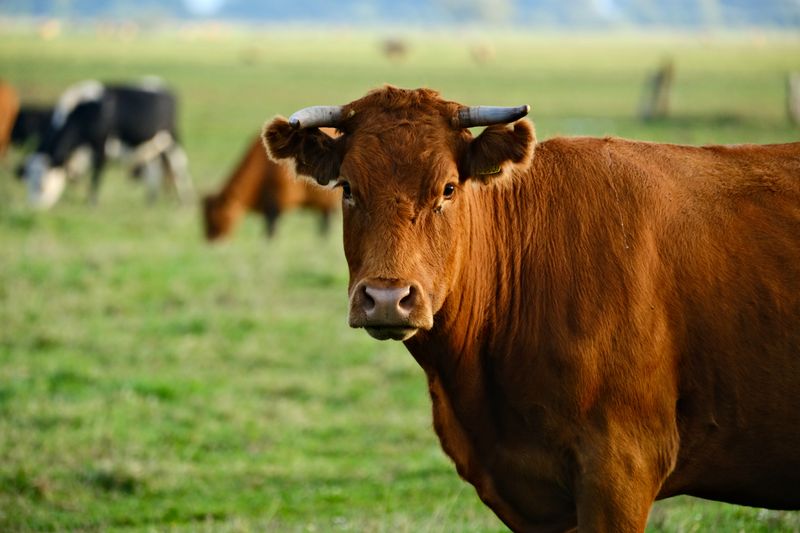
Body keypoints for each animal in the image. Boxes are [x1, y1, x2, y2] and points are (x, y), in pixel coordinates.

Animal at [22, 79, 194, 209]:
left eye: (41, 185)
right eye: (28, 181)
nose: (34, 208)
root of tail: (163, 86)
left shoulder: (101, 146)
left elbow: (96, 174)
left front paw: (92, 203)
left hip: (172, 140)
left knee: (178, 166)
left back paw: (184, 201)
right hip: (151, 146)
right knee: (154, 170)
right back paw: (150, 201)